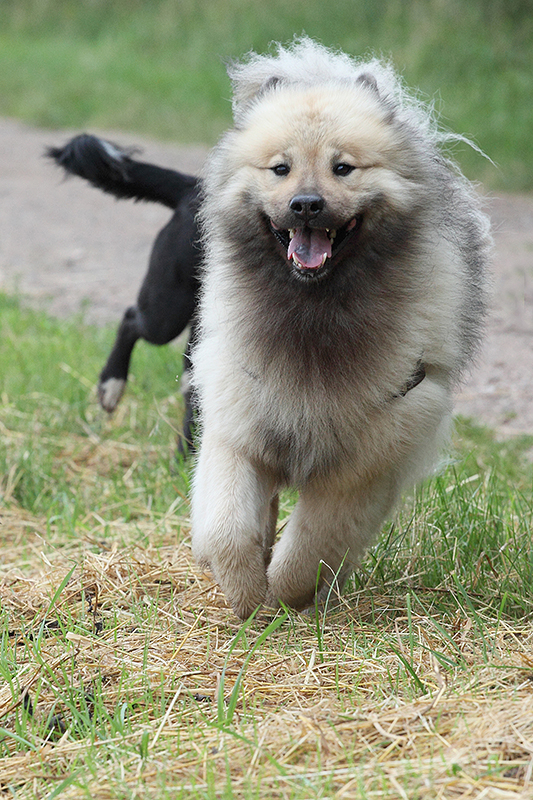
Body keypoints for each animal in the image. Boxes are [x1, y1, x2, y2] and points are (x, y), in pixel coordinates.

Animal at [190, 37, 490, 620]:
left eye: (343, 167)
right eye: (280, 168)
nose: (307, 204)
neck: (314, 312)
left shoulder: (360, 465)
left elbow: (313, 545)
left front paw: (287, 595)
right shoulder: (240, 429)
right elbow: (228, 529)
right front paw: (246, 595)